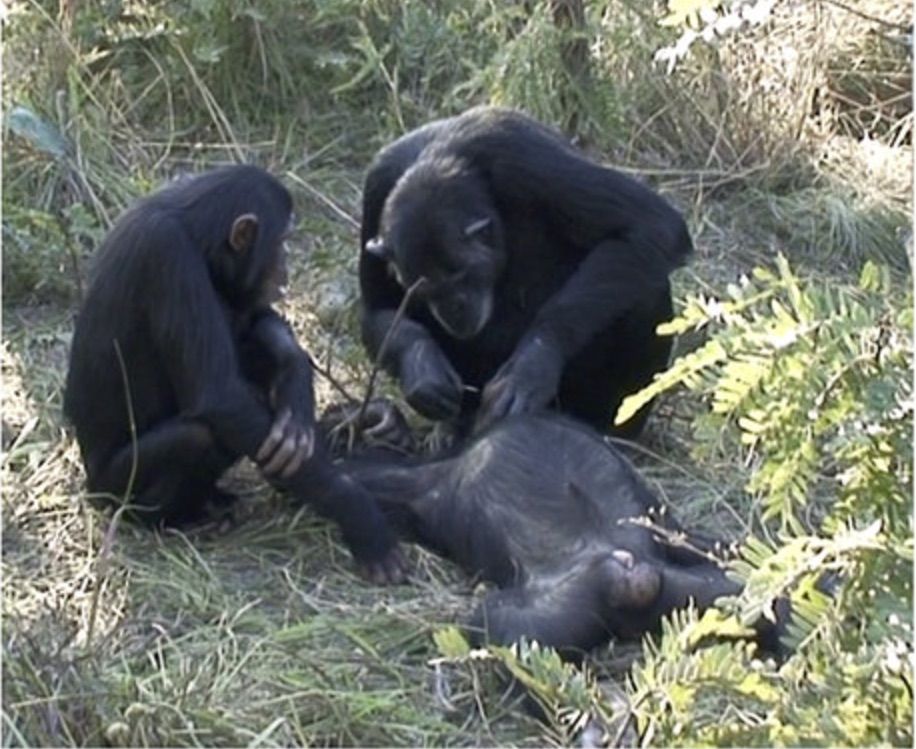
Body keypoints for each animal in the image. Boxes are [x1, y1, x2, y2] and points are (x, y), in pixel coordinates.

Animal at [63, 165, 404, 584]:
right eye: (282, 240)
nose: (286, 265)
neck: (195, 233)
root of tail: (89, 488)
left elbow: (256, 322)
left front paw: (296, 390)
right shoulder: (168, 260)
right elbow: (221, 395)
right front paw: (358, 512)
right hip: (112, 491)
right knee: (198, 436)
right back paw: (172, 521)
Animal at [340, 410, 784, 656]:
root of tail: (632, 575)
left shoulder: (425, 482)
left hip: (566, 604)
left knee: (505, 629)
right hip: (697, 594)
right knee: (769, 597)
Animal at [358, 108, 696, 442]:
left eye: (460, 274)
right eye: (423, 290)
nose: (453, 308)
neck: (439, 157)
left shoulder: (523, 155)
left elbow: (649, 225)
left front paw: (531, 366)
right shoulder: (377, 185)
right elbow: (378, 309)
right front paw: (422, 367)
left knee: (646, 289)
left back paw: (612, 434)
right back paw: (451, 427)